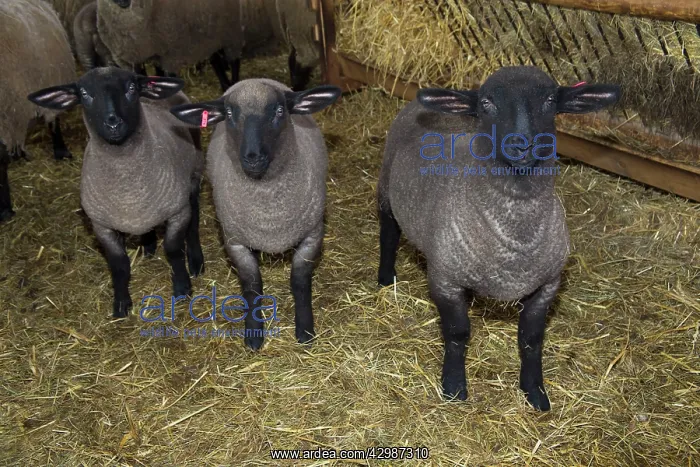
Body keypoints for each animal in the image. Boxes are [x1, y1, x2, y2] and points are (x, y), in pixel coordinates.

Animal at [28, 67, 205, 318]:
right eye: (84, 93)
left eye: (131, 88)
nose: (113, 123)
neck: (127, 187)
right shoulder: (102, 226)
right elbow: (119, 265)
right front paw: (121, 303)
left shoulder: (177, 211)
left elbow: (173, 249)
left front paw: (182, 287)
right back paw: (148, 246)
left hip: (194, 175)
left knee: (194, 220)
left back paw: (196, 260)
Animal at [170, 79, 341, 349]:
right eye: (229, 114)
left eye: (279, 111)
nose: (253, 157)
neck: (269, 211)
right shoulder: (235, 242)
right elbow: (252, 286)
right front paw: (254, 334)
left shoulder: (313, 235)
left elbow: (300, 281)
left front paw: (305, 330)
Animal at [377, 66, 621, 411]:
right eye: (487, 103)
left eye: (549, 100)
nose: (521, 145)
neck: (515, 236)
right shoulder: (445, 280)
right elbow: (457, 334)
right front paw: (454, 386)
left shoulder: (548, 286)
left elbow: (531, 340)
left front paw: (534, 391)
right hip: (386, 186)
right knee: (388, 231)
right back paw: (386, 277)